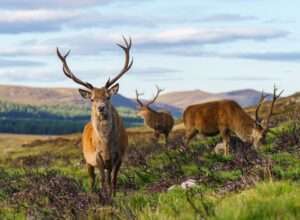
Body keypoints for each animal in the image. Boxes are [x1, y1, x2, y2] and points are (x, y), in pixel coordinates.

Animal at [56, 37, 134, 197]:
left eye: (108, 97)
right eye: (92, 99)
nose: (101, 107)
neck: (106, 145)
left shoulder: (120, 155)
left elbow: (113, 179)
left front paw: (113, 196)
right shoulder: (97, 157)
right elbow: (103, 180)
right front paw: (104, 196)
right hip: (87, 159)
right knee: (92, 179)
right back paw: (92, 194)